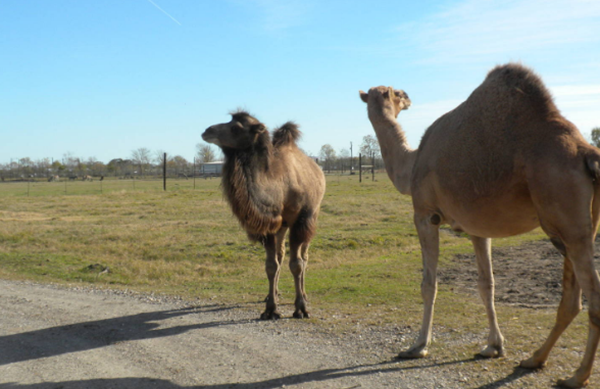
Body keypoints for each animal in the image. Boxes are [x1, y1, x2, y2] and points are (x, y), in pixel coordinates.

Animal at [200, 110, 324, 318]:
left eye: (236, 127)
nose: (207, 131)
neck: (280, 186)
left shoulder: (299, 221)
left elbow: (297, 264)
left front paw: (300, 308)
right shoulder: (268, 225)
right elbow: (271, 265)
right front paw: (270, 309)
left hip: (311, 217)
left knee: (304, 256)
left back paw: (304, 295)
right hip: (282, 226)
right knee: (281, 255)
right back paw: (272, 294)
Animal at [360, 62, 600, 386]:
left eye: (394, 92)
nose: (407, 96)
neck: (411, 165)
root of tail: (588, 152)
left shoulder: (425, 214)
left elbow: (428, 284)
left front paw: (418, 346)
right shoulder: (476, 228)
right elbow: (487, 284)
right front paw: (494, 346)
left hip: (566, 220)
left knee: (592, 298)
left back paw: (577, 376)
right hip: (573, 227)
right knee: (572, 299)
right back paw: (535, 359)